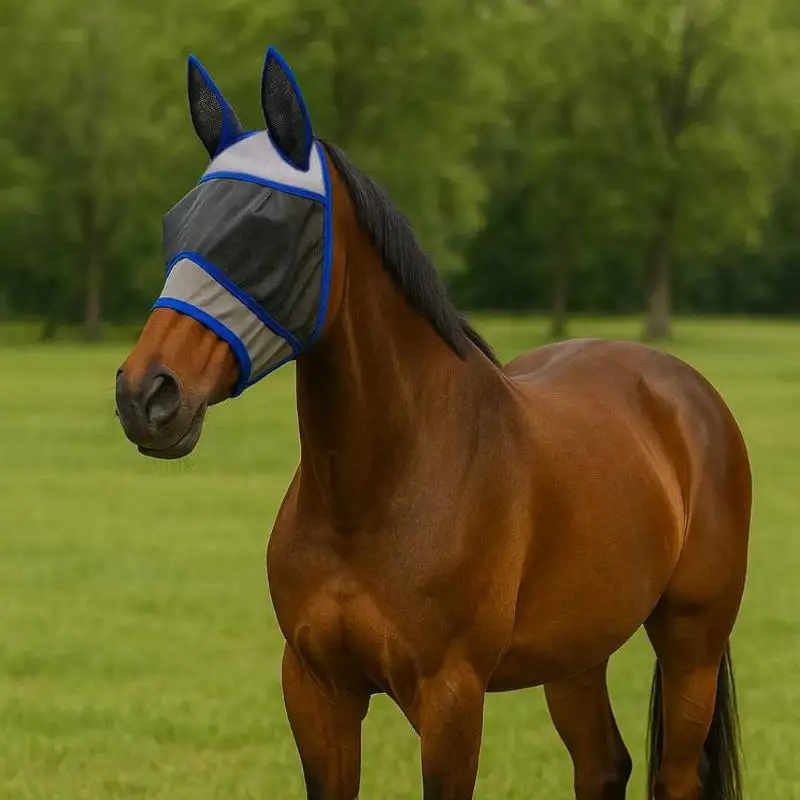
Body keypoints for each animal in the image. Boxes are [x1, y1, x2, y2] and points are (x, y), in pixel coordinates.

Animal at [115, 48, 751, 800]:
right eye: (174, 225)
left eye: (264, 231)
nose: (147, 395)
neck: (378, 488)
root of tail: (686, 393)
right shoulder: (316, 689)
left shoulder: (451, 698)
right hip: (575, 655)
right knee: (602, 766)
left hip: (691, 646)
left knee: (674, 774)